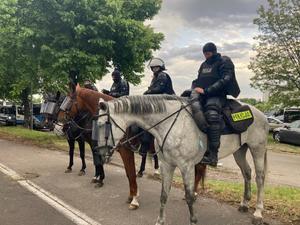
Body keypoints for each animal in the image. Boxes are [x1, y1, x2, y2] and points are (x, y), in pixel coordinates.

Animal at [57, 84, 205, 209]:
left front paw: (134, 199)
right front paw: (130, 195)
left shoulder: (125, 151)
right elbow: (128, 173)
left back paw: (192, 193)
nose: (59, 123)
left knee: (198, 169)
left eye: (68, 101)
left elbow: (131, 173)